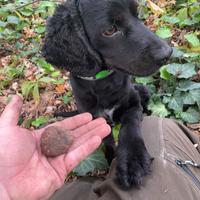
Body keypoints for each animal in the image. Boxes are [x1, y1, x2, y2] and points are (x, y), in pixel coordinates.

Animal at [42, 0, 172, 189]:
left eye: (137, 14)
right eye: (110, 30)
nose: (167, 53)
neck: (102, 82)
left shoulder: (132, 103)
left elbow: (130, 125)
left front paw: (133, 160)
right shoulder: (95, 117)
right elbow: (107, 141)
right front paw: (112, 159)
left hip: (143, 89)